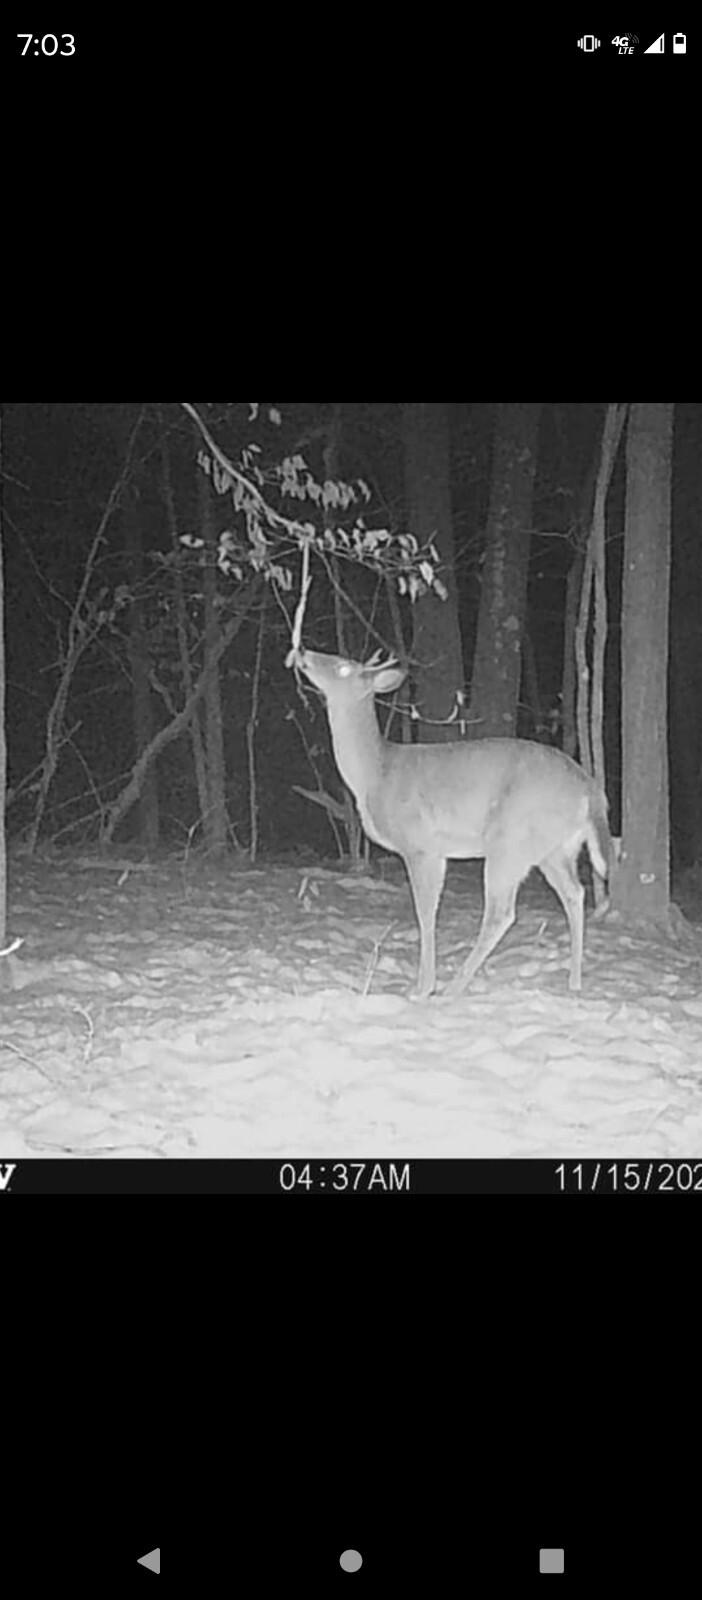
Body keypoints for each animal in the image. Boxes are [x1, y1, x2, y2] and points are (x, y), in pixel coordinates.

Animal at [294, 648, 612, 999]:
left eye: (342, 667)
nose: (303, 652)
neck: (375, 773)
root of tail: (590, 790)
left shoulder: (420, 845)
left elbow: (424, 912)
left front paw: (423, 988)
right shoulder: (438, 852)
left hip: (511, 839)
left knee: (502, 912)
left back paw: (455, 987)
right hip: (556, 848)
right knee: (575, 893)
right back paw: (574, 981)